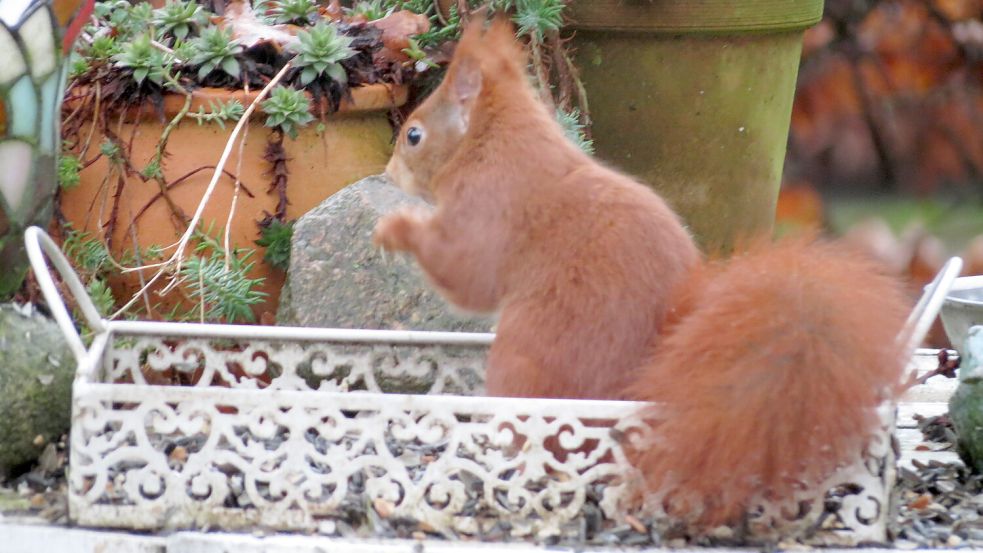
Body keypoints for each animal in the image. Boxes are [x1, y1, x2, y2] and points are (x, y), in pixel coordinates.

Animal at [372, 15, 912, 528]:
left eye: (414, 135)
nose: (386, 175)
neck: (493, 144)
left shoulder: (486, 209)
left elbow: (465, 276)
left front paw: (395, 229)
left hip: (527, 358)